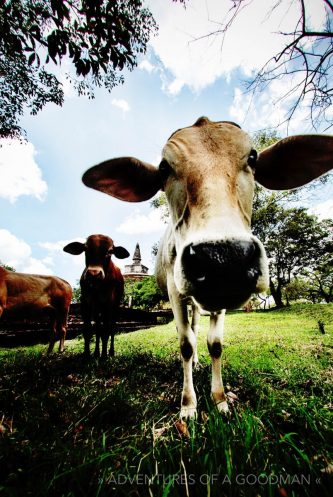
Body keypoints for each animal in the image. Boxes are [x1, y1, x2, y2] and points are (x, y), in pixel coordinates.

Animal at [80, 118, 332, 416]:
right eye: (164, 168)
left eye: (253, 157)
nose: (223, 258)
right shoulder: (175, 292)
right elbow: (185, 344)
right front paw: (188, 404)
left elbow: (215, 344)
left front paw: (220, 399)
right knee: (186, 332)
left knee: (196, 327)